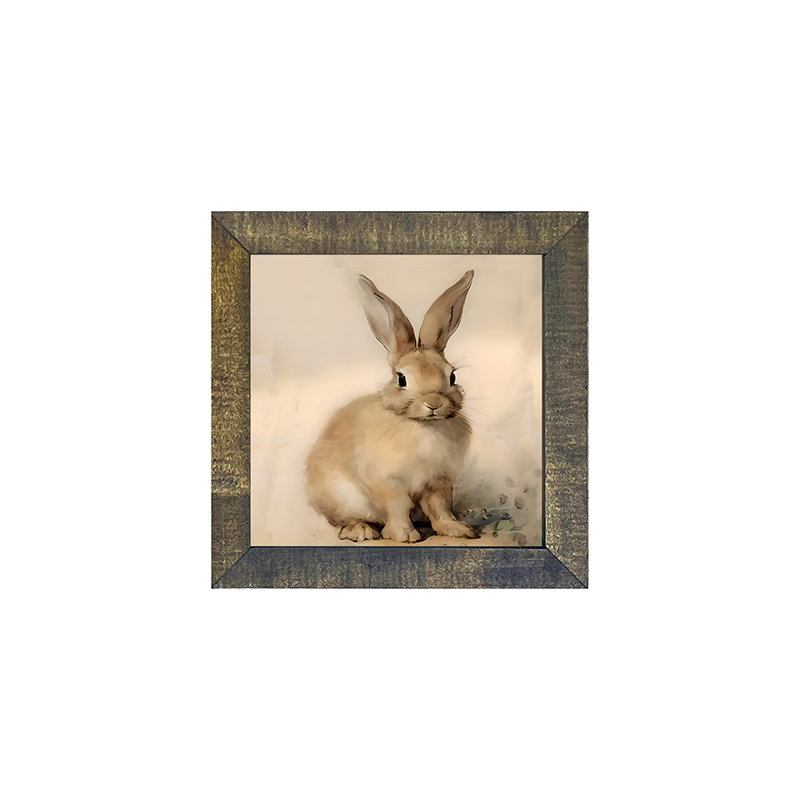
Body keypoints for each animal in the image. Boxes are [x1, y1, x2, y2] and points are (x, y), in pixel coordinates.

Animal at [305, 270, 478, 543]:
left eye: (452, 376)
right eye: (401, 379)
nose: (433, 403)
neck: (422, 426)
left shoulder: (438, 482)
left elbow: (440, 507)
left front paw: (457, 530)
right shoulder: (387, 482)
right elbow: (397, 506)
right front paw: (404, 535)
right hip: (341, 498)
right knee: (346, 521)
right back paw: (361, 531)